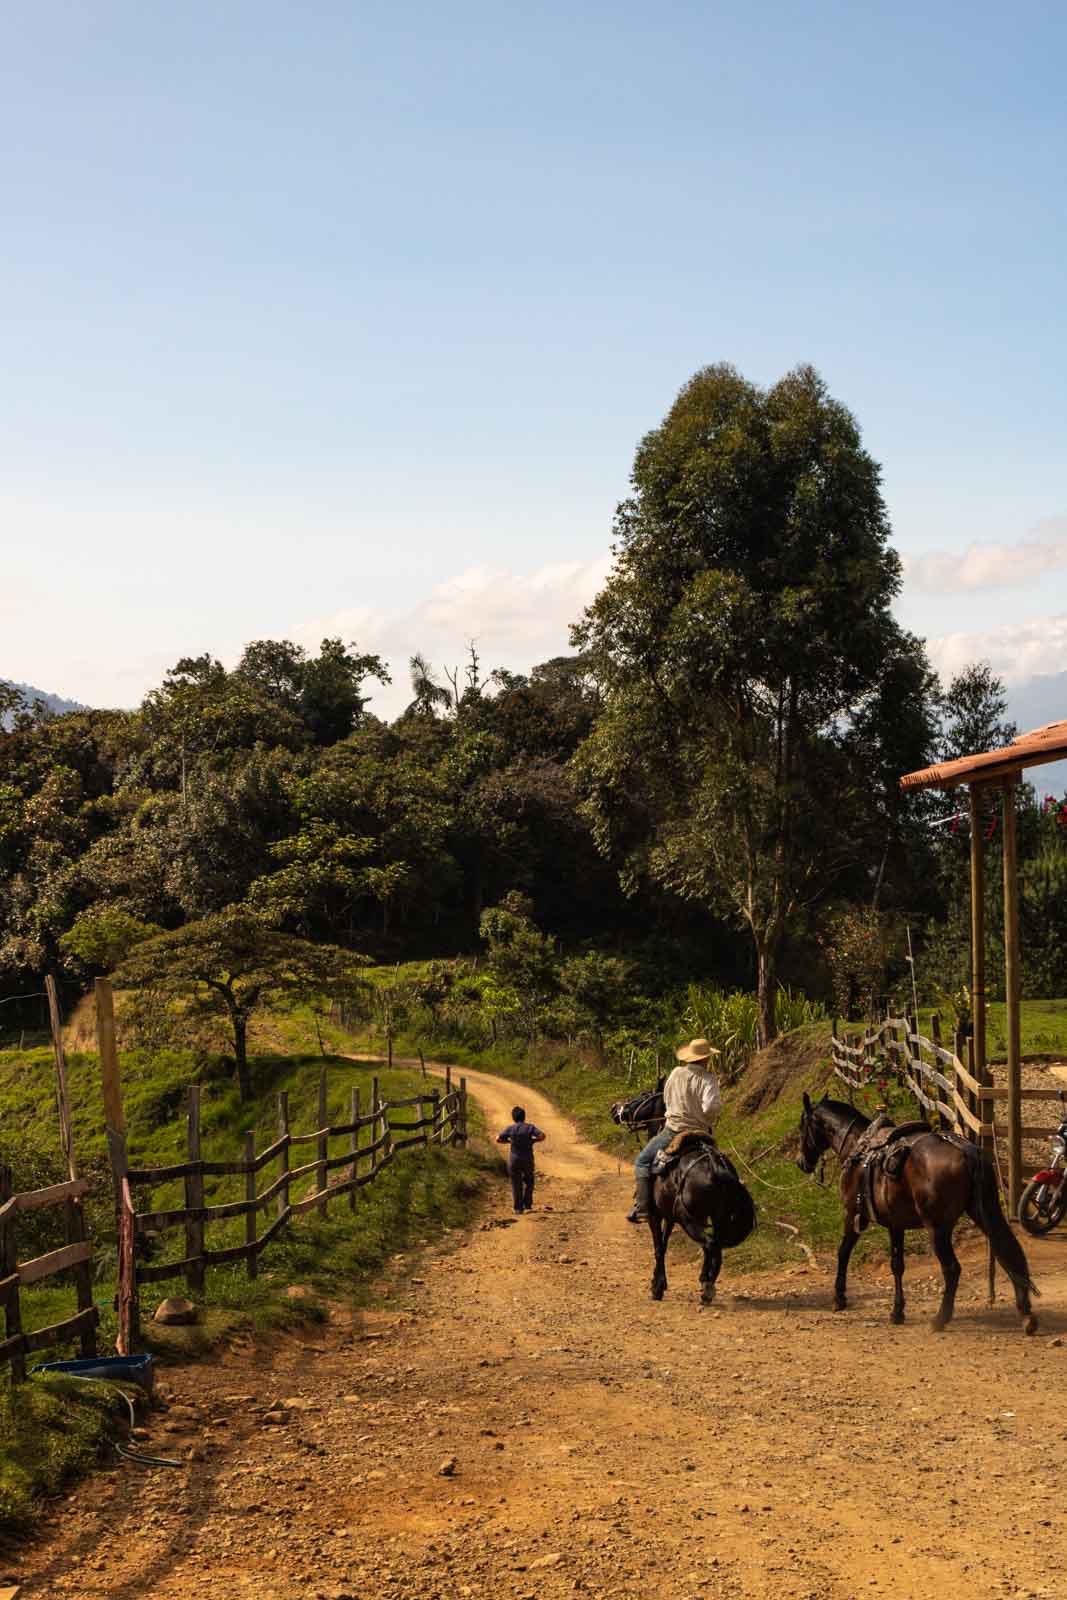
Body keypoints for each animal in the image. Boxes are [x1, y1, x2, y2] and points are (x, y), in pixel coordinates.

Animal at [796, 1088, 1036, 1337]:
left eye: (802, 1126)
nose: (800, 1161)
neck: (857, 1147)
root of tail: (966, 1150)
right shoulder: (895, 1224)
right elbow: (897, 1265)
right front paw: (897, 1312)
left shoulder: (853, 1214)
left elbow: (843, 1252)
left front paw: (839, 1298)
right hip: (984, 1212)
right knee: (1008, 1251)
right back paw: (1026, 1314)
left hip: (937, 1228)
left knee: (952, 1269)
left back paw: (940, 1319)